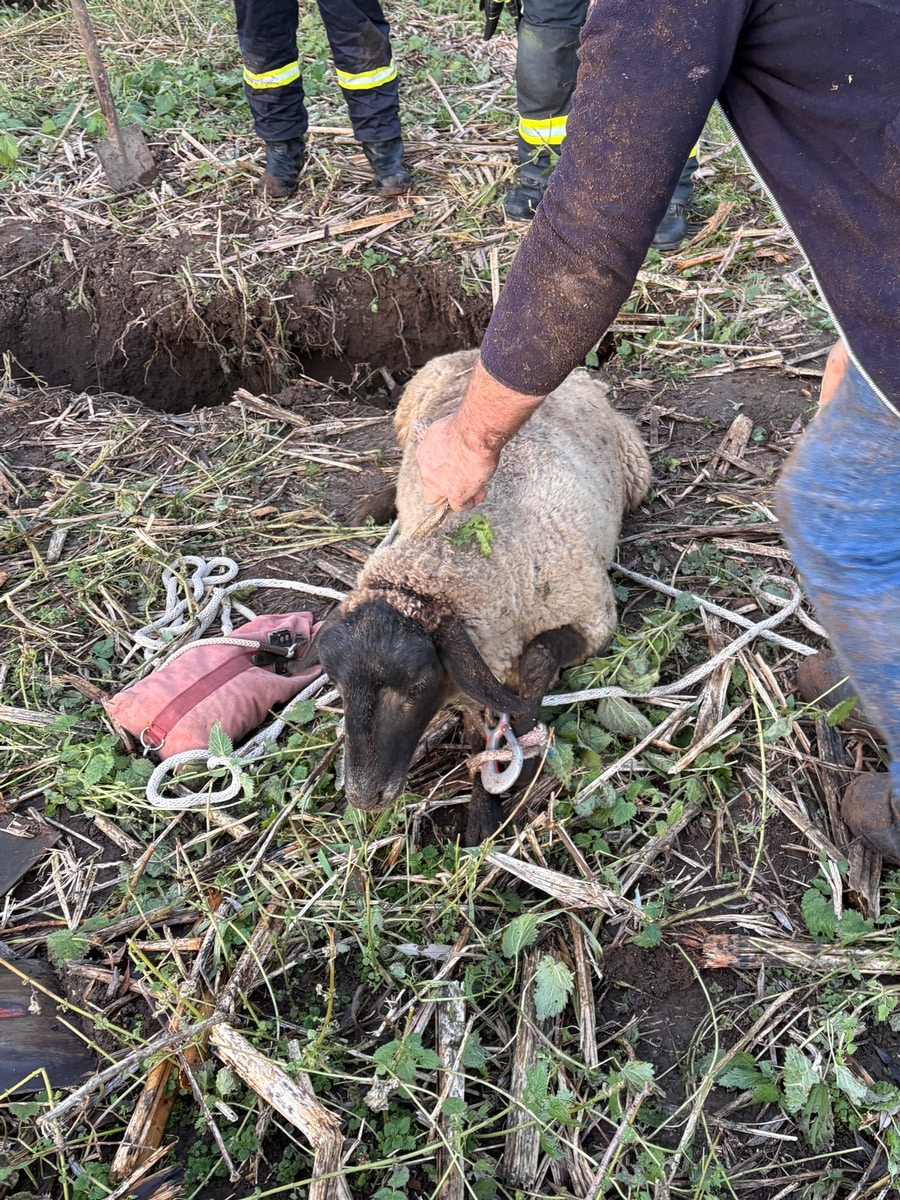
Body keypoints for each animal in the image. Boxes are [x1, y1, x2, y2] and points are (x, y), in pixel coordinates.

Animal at [308, 348, 652, 841]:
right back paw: (371, 506)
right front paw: (481, 816)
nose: (363, 797)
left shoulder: (594, 616)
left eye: (417, 685)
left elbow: (537, 659)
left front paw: (520, 742)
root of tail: (473, 349)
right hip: (407, 419)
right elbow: (476, 725)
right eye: (335, 683)